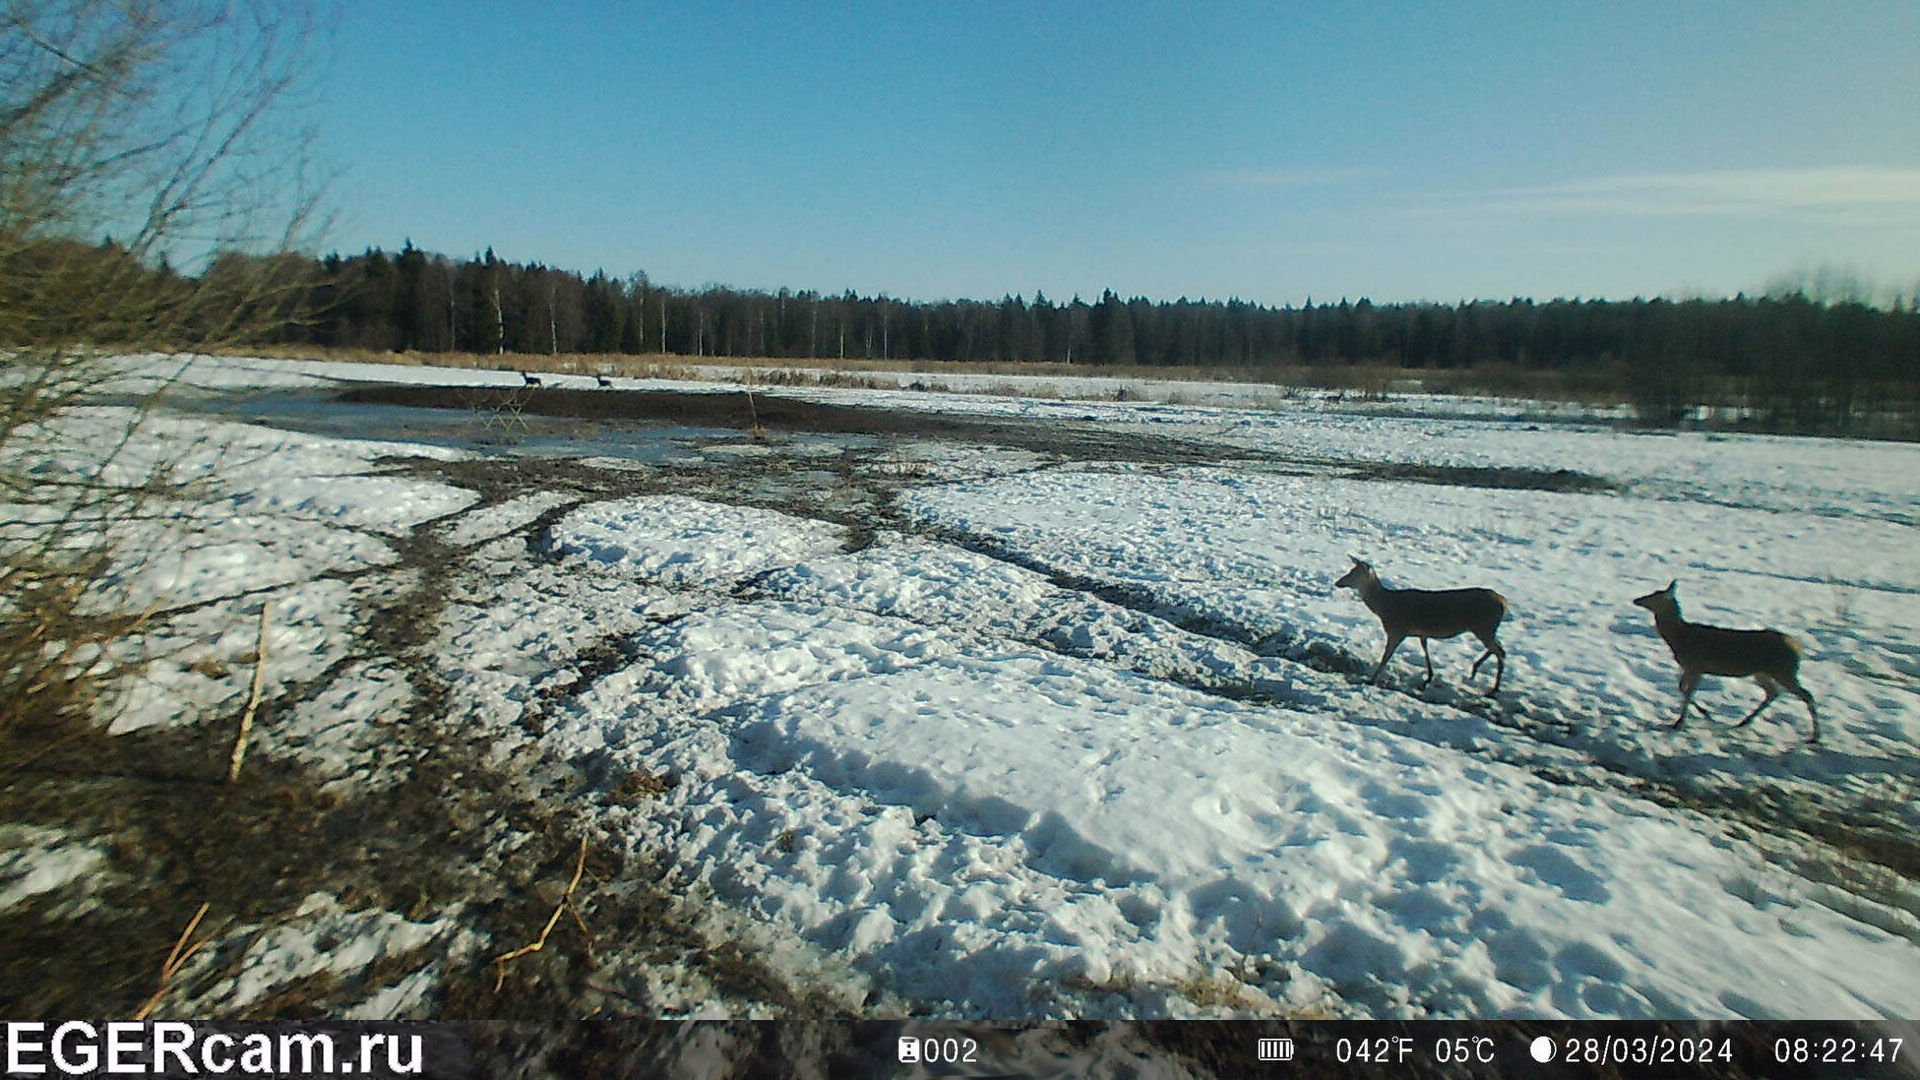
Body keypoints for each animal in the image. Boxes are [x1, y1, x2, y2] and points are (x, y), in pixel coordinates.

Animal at [1336, 553, 1512, 699]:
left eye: (1353, 573)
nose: (1337, 582)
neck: (1384, 607)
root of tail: (1504, 601)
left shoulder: (1397, 630)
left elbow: (1386, 657)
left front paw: (1371, 680)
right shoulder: (1421, 633)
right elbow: (1425, 649)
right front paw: (1428, 677)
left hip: (1483, 626)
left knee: (1500, 651)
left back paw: (1493, 688)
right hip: (1487, 628)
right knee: (1498, 648)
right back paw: (1475, 670)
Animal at [1628, 580, 1820, 737]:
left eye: (1655, 595)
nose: (1636, 600)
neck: (1679, 637)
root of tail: (1799, 647)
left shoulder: (1695, 665)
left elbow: (1688, 691)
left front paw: (1680, 722)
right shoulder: (1691, 667)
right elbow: (1683, 689)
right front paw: (1704, 713)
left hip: (1783, 670)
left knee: (1807, 695)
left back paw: (1815, 737)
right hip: (1763, 672)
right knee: (1773, 692)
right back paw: (1744, 722)